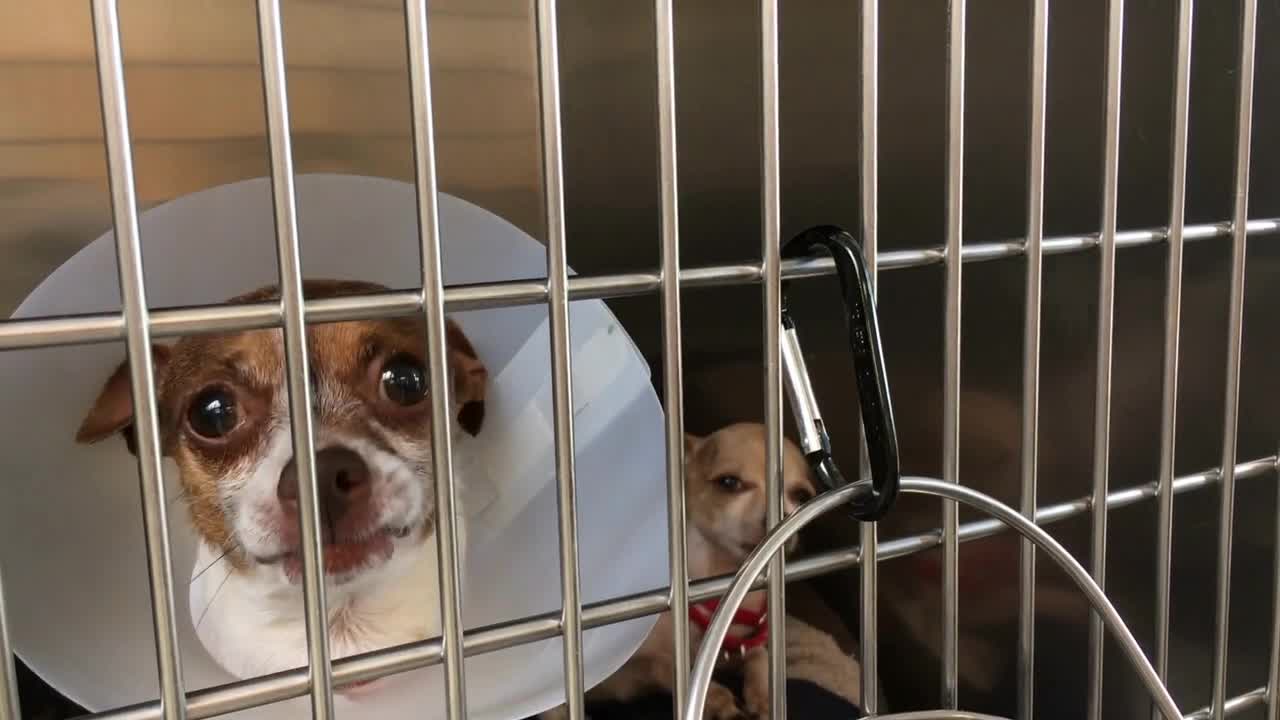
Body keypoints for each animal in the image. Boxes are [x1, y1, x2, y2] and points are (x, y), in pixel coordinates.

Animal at [540, 420, 819, 717]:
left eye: (801, 496)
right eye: (729, 482)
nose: (782, 517)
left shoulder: (741, 647)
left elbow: (761, 657)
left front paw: (765, 697)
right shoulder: (631, 670)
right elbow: (673, 669)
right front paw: (721, 702)